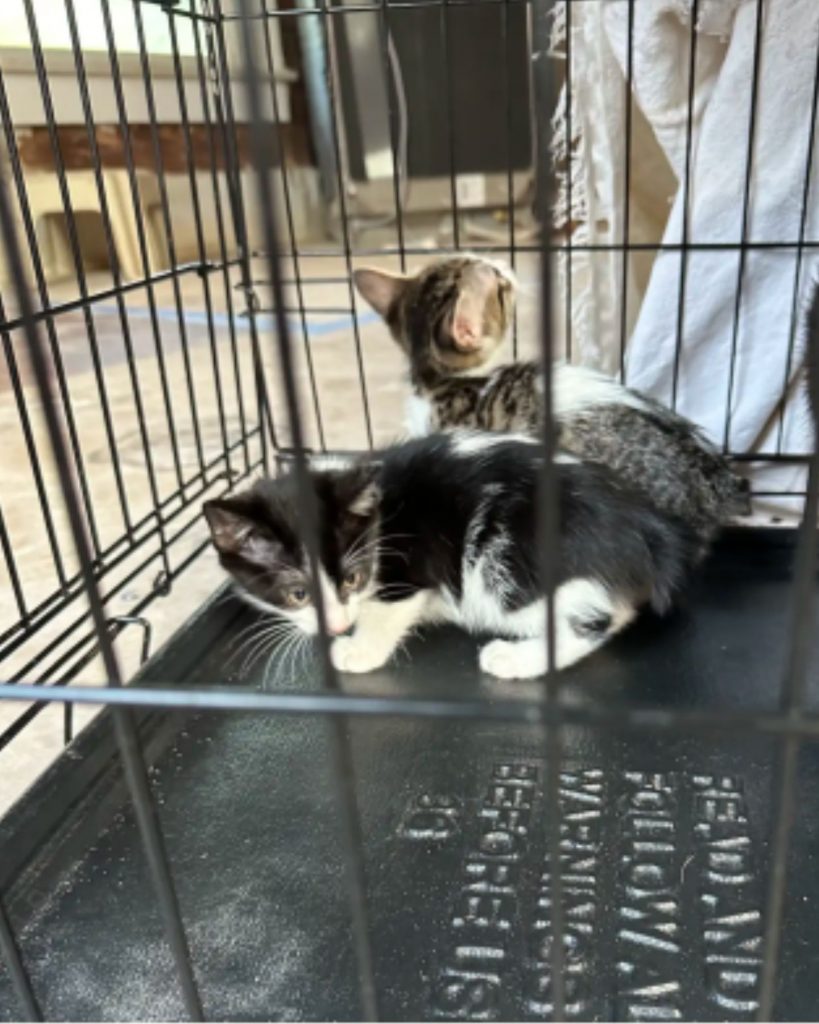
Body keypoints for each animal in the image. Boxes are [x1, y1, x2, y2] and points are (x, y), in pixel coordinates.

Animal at [201, 432, 696, 679]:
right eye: (297, 593)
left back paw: (517, 659)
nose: (338, 625)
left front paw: (359, 649)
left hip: (508, 568)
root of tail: (647, 525)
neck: (380, 519)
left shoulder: (409, 566)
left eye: (353, 579)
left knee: (597, 621)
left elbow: (388, 611)